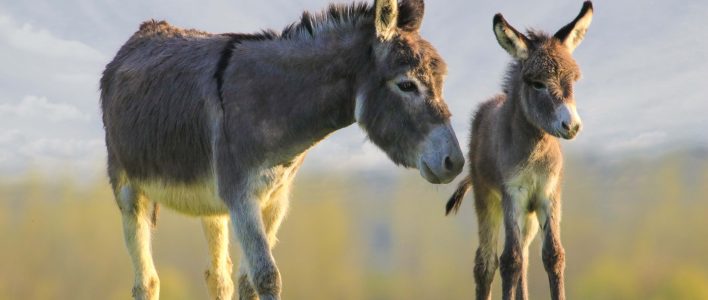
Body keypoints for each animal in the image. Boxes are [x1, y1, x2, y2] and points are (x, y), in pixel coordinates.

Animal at [448, 2, 592, 300]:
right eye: (537, 83)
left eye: (573, 80)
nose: (572, 125)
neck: (535, 150)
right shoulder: (512, 194)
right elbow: (509, 260)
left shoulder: (548, 194)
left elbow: (553, 255)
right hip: (488, 198)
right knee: (486, 262)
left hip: (529, 213)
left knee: (525, 256)